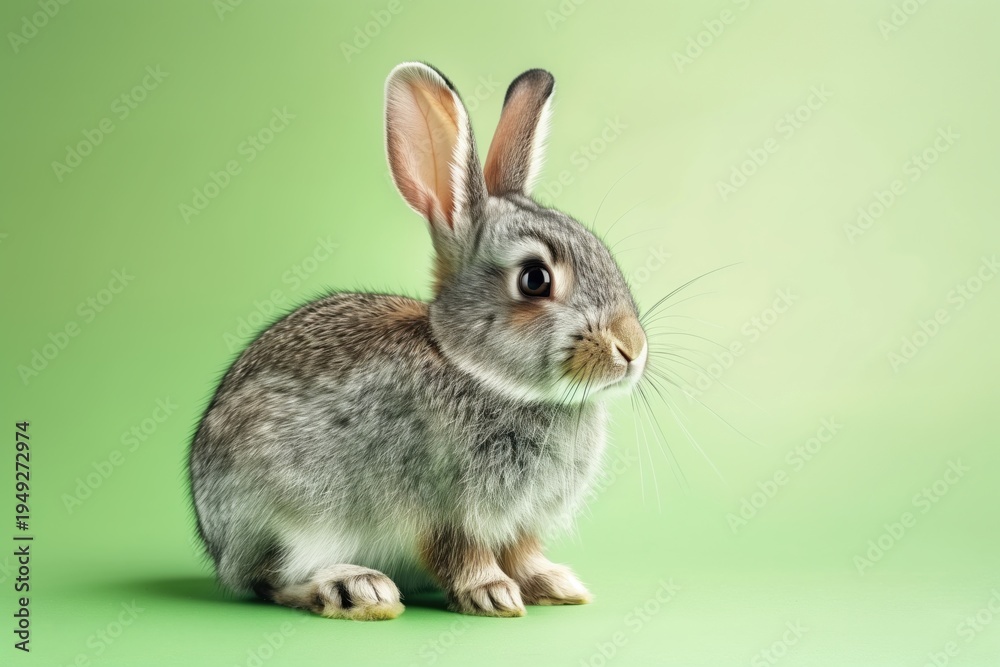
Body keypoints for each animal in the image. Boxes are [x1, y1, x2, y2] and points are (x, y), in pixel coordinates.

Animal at [188, 62, 648, 621]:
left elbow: (523, 551)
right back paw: (356, 589)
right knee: (270, 580)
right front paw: (492, 594)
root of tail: (215, 540)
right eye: (535, 280)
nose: (632, 349)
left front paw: (555, 584)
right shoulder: (442, 509)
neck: (474, 368)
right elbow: (460, 553)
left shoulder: (519, 522)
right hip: (285, 516)